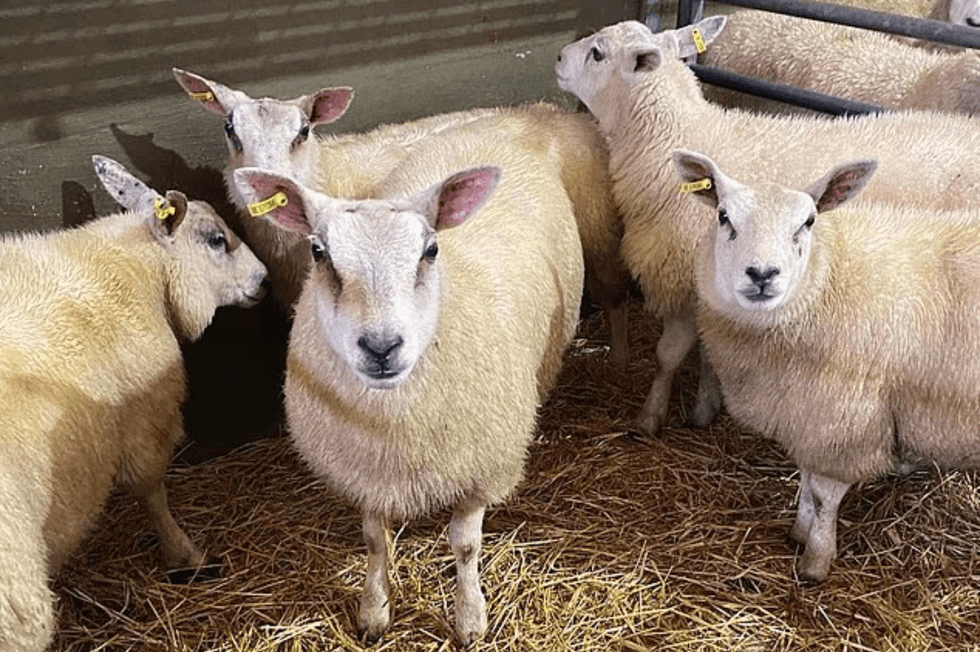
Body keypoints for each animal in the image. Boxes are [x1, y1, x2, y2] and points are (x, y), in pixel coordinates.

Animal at [0, 156, 267, 652]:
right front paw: (186, 556)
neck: (138, 266)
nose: (264, 280)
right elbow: (151, 489)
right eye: (216, 239)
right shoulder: (145, 418)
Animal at [173, 68, 631, 368]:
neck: (328, 172)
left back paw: (619, 360)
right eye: (230, 129)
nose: (263, 189)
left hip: (598, 224)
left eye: (302, 132)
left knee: (614, 295)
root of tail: (558, 110)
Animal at [232, 121, 585, 645]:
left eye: (431, 249)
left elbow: (465, 546)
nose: (381, 347)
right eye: (318, 252)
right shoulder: (364, 474)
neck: (395, 429)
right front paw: (374, 613)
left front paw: (470, 620)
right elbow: (374, 542)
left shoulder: (482, 468)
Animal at [671, 146, 980, 582]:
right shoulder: (805, 413)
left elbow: (823, 494)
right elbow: (803, 477)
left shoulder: (842, 422)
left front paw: (815, 562)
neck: (826, 281)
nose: (762, 273)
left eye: (809, 221)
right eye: (723, 216)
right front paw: (798, 532)